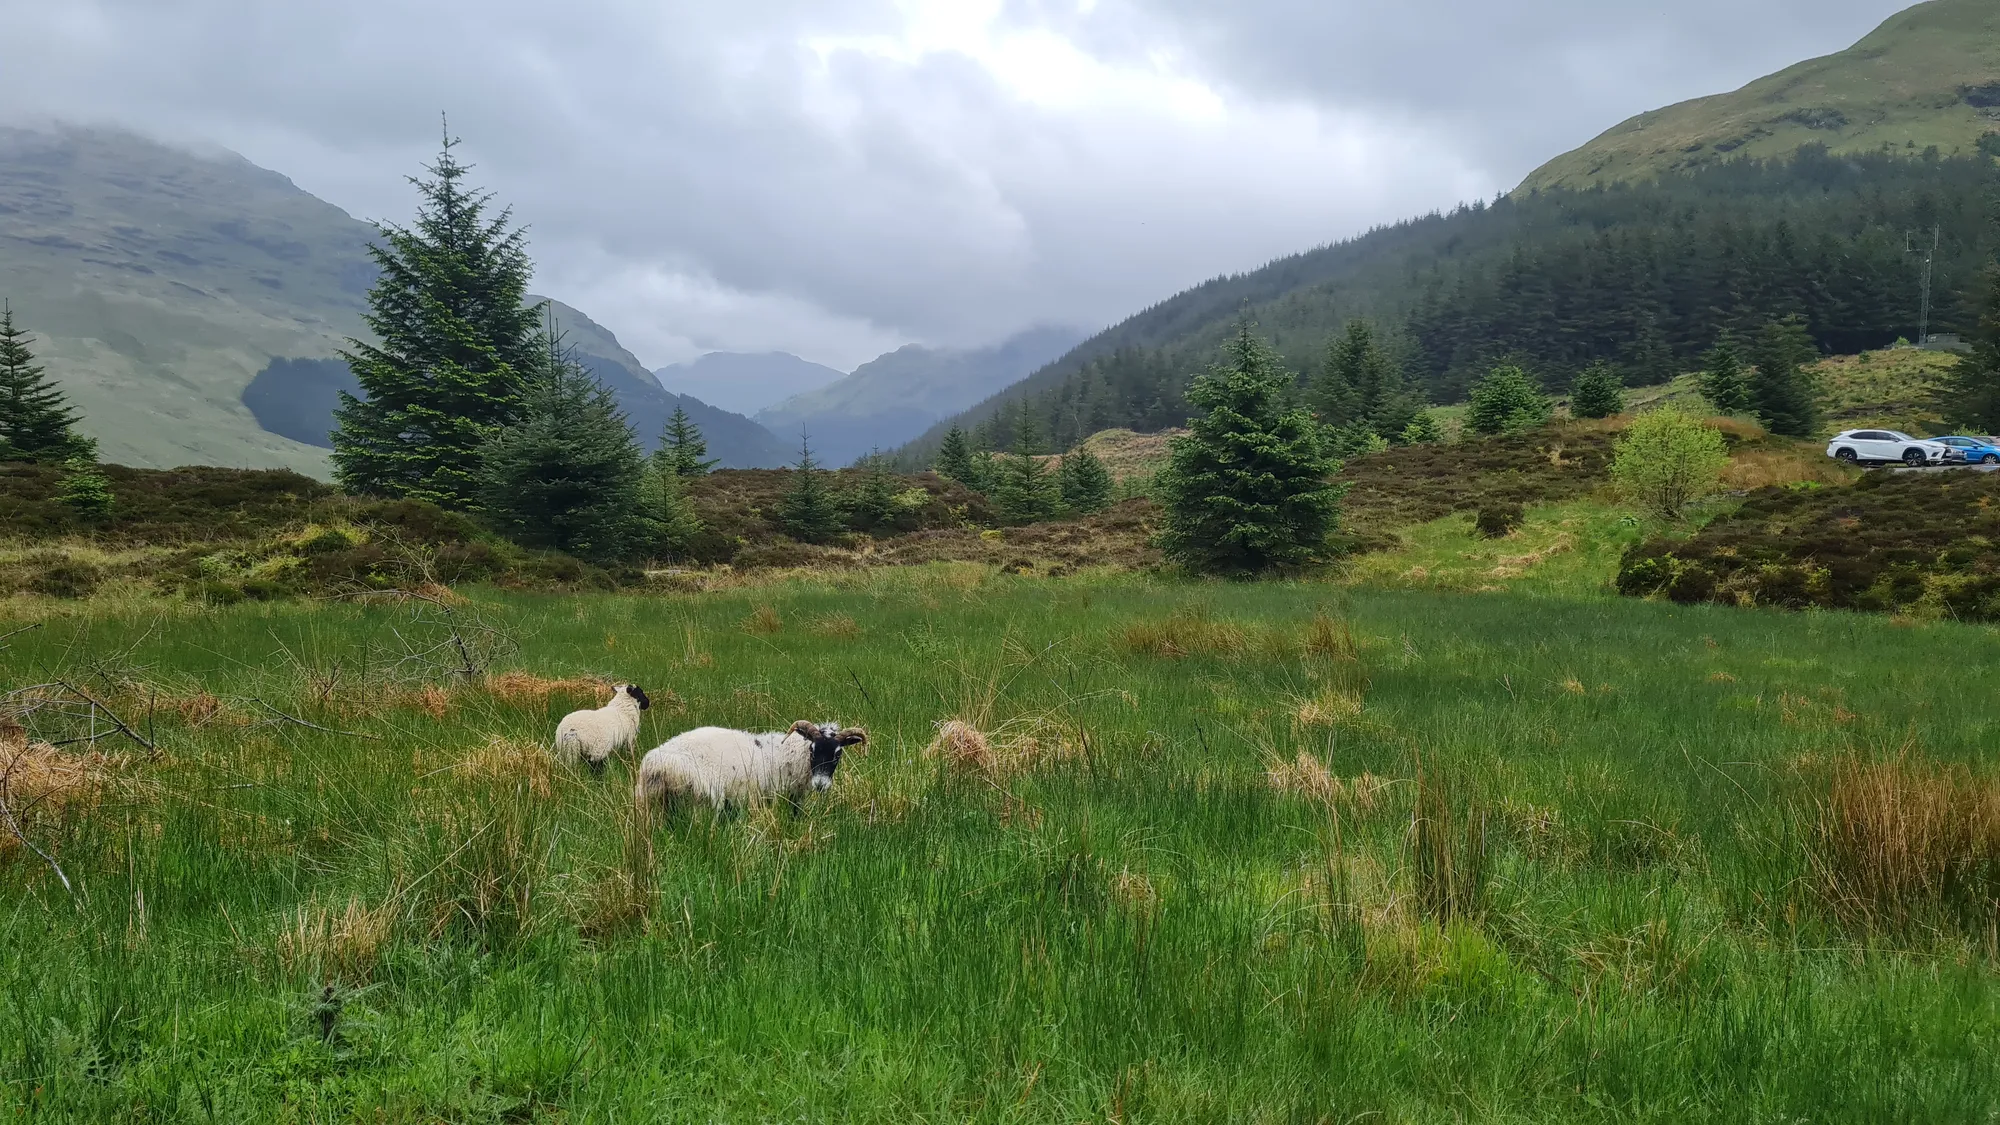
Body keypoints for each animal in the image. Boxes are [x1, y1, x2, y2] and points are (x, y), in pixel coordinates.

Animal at [635, 720, 866, 812]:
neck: (787, 754)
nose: (820, 784)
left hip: (650, 804)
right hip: (702, 803)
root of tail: (658, 766)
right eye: (812, 749)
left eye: (838, 754)